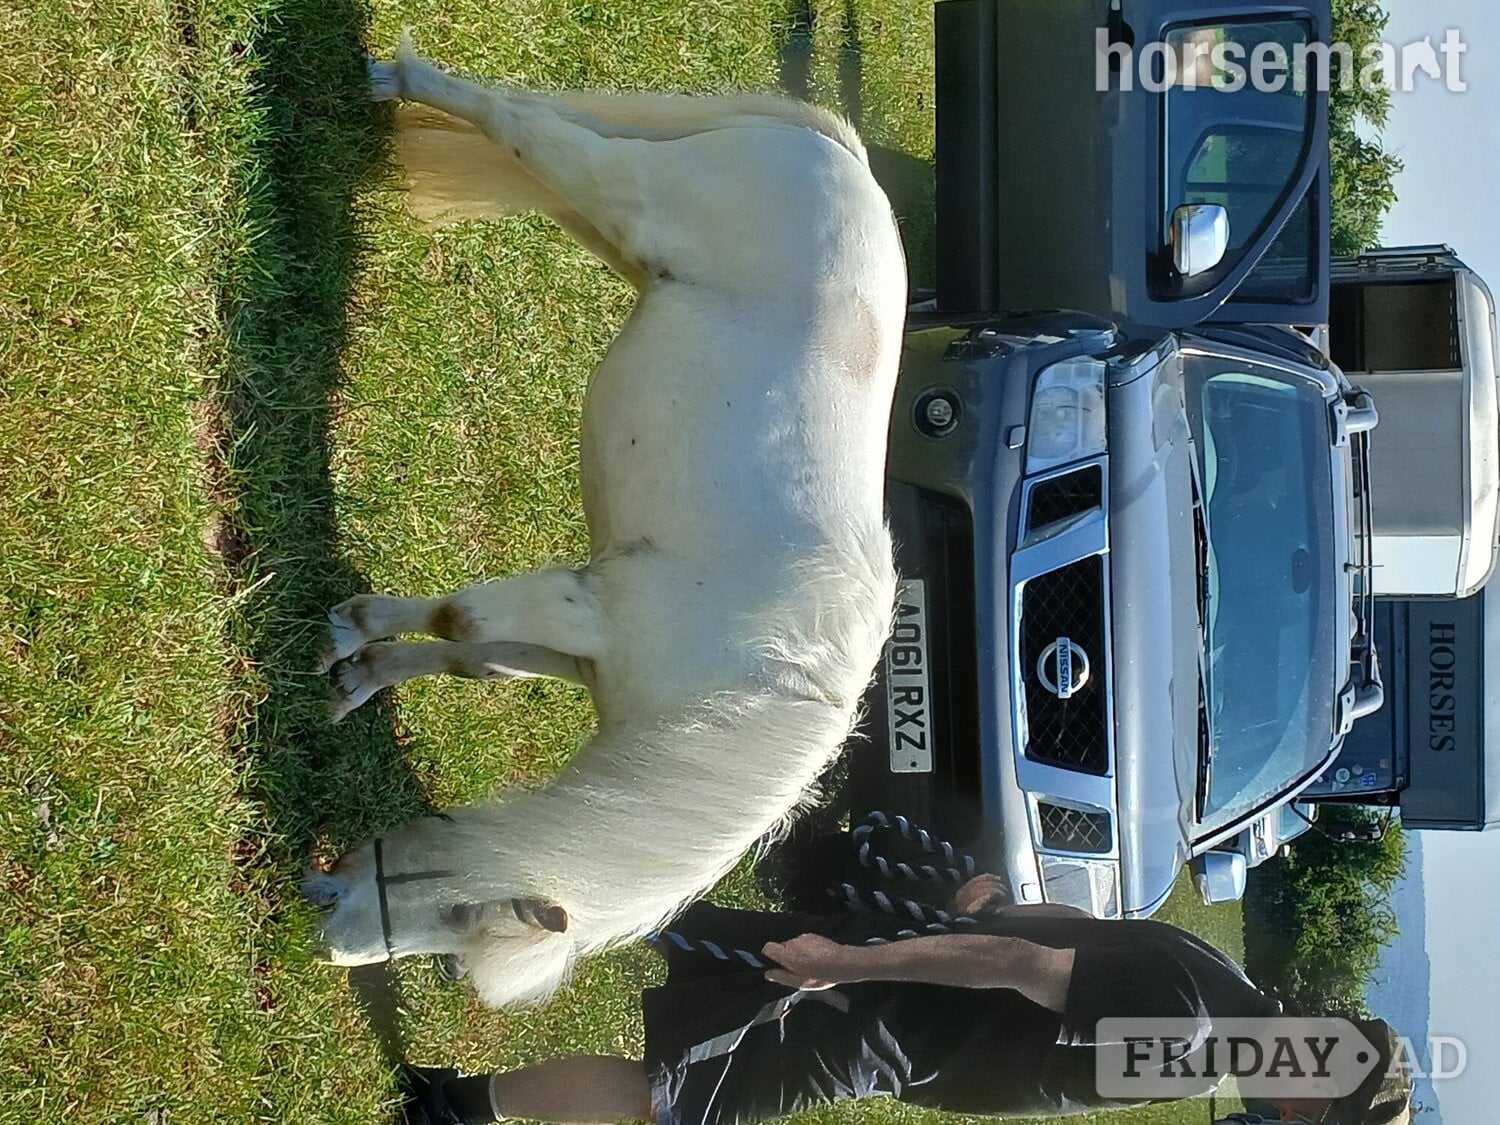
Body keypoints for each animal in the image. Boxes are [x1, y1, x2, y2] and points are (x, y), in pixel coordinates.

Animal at [300, 36, 906, 1008]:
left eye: (455, 921)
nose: (328, 933)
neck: (756, 682)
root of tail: (846, 163)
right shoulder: (590, 602)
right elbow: (460, 620)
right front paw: (347, 636)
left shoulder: (580, 641)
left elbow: (474, 657)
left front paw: (359, 668)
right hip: (622, 192)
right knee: (522, 125)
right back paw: (402, 80)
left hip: (613, 234)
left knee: (541, 133)